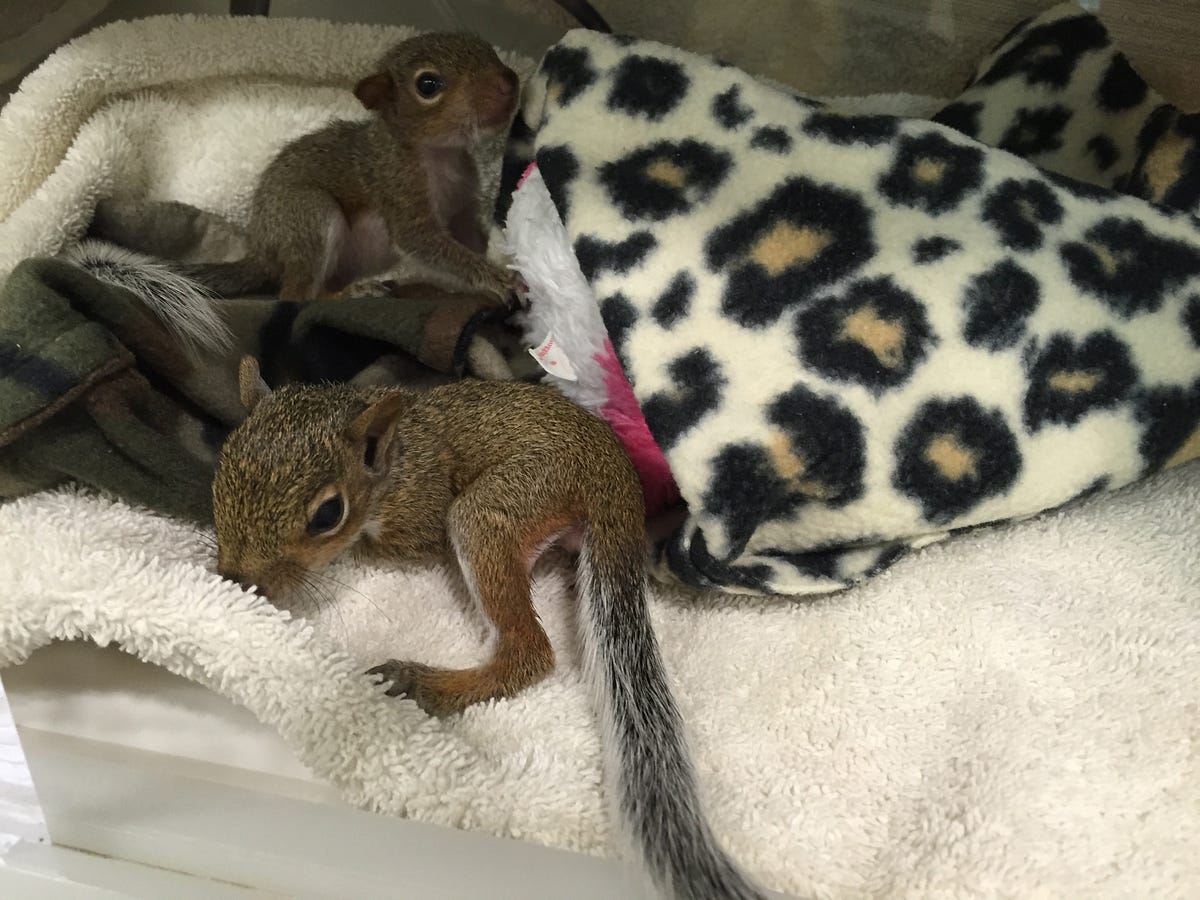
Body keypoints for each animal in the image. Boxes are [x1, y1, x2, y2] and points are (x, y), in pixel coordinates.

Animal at [179, 32, 519, 302]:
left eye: (487, 48)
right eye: (428, 85)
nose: (508, 83)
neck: (442, 153)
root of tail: (261, 251)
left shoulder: (462, 207)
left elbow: (470, 240)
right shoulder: (397, 187)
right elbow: (423, 243)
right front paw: (499, 280)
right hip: (307, 214)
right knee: (297, 296)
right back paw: (354, 292)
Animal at [211, 358, 768, 900]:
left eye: (328, 514)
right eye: (220, 476)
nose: (239, 578)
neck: (396, 462)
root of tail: (614, 481)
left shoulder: (419, 514)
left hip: (496, 509)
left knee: (530, 652)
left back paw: (426, 683)